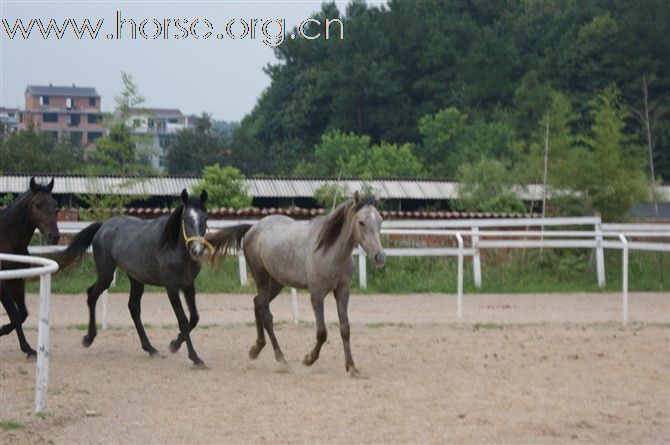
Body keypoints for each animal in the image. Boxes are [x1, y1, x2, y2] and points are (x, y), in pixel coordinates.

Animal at [0, 177, 59, 358]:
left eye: (55, 205)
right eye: (38, 205)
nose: (54, 236)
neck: (7, 239)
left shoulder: (17, 281)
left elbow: (22, 314)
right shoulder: (2, 285)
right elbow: (15, 315)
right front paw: (26, 347)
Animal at [55, 189, 213, 366]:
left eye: (205, 219)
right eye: (185, 219)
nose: (196, 250)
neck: (173, 247)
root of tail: (103, 226)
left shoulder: (188, 284)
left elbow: (194, 318)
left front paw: (174, 344)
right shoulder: (171, 287)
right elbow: (183, 321)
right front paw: (195, 357)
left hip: (136, 279)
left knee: (133, 308)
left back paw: (150, 348)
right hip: (106, 275)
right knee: (92, 295)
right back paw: (88, 338)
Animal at [207, 191, 386, 374]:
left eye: (380, 220)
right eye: (361, 222)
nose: (380, 257)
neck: (330, 251)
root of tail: (253, 228)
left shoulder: (343, 292)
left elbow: (345, 329)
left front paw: (351, 366)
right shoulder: (317, 295)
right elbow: (322, 332)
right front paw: (308, 359)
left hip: (276, 283)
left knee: (257, 303)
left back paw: (256, 349)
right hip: (262, 278)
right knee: (266, 314)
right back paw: (281, 358)